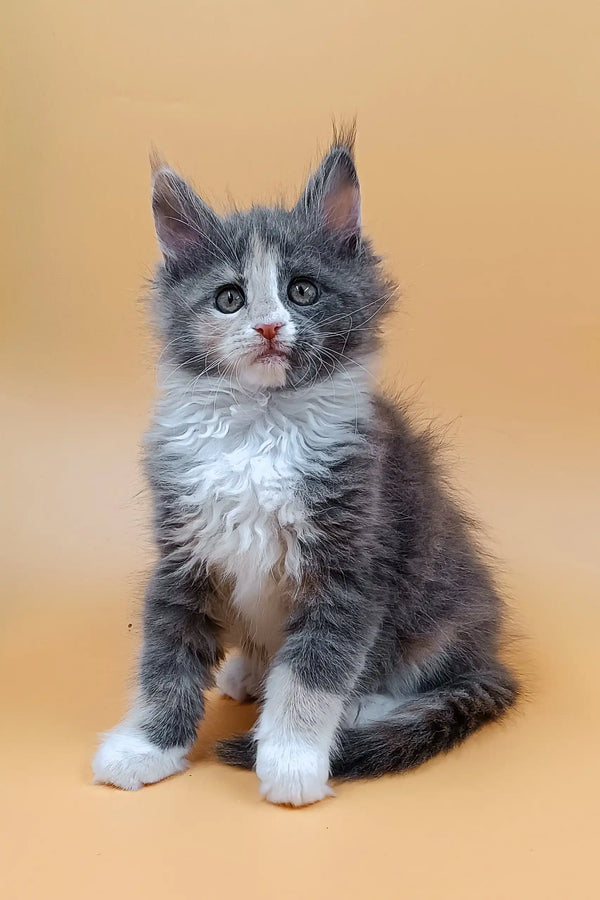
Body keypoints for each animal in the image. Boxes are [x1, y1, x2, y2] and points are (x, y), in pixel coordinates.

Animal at [91, 128, 516, 808]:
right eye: (230, 299)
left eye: (303, 291)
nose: (268, 327)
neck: (260, 431)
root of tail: (490, 654)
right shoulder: (183, 554)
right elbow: (165, 663)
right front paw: (145, 747)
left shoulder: (351, 566)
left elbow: (314, 674)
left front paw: (291, 760)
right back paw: (248, 670)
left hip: (436, 610)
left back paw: (361, 709)